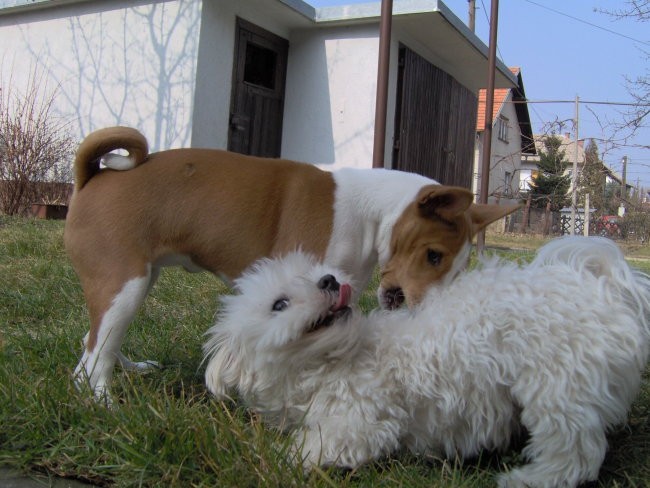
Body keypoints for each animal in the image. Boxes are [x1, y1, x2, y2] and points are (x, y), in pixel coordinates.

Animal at [66, 127, 516, 402]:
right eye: (433, 255)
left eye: (456, 270)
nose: (429, 311)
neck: (371, 212)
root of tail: (92, 177)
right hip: (123, 284)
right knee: (93, 357)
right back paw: (104, 402)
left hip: (137, 282)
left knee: (97, 340)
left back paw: (129, 368)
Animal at [204, 234, 648, 486]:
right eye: (278, 304)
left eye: (318, 275)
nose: (329, 280)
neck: (337, 359)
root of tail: (598, 285)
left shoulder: (360, 423)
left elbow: (312, 448)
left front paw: (272, 457)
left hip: (558, 386)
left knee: (575, 453)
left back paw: (530, 478)